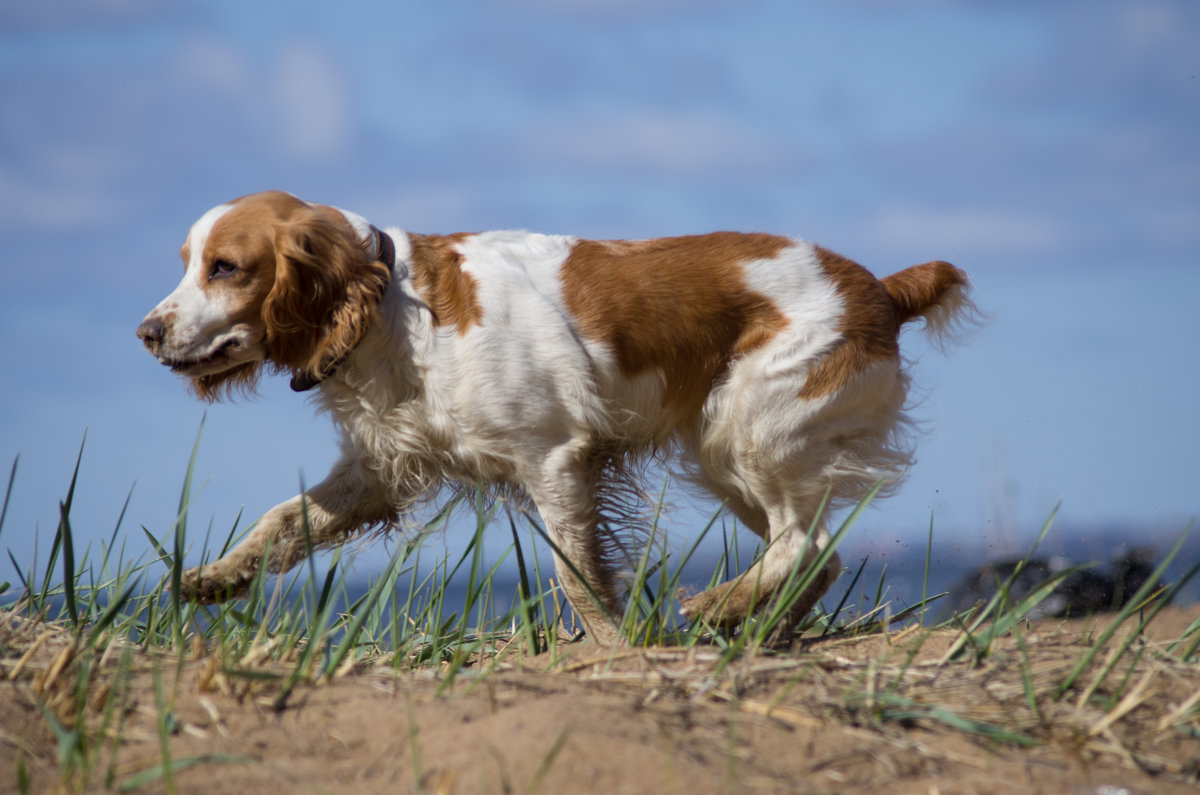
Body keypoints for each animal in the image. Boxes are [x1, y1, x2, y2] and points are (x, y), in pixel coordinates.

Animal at [136, 193, 969, 648]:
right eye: (185, 261)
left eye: (226, 266)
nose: (146, 330)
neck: (396, 309)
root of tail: (879, 287)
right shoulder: (378, 470)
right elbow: (281, 521)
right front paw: (212, 578)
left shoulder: (556, 459)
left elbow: (575, 575)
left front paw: (614, 647)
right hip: (729, 454)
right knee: (817, 554)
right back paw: (752, 621)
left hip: (749, 432)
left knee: (804, 542)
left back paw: (721, 602)